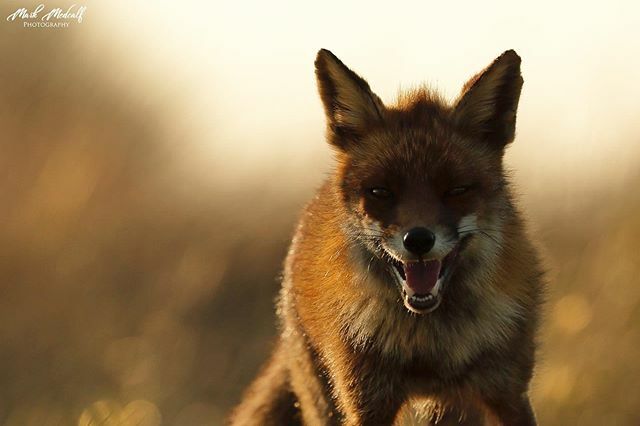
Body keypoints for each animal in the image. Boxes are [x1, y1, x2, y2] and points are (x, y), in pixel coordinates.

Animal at [228, 49, 544, 426]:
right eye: (380, 191)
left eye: (456, 190)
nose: (418, 240)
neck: (431, 347)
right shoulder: (365, 399)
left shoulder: (508, 392)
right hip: (326, 402)